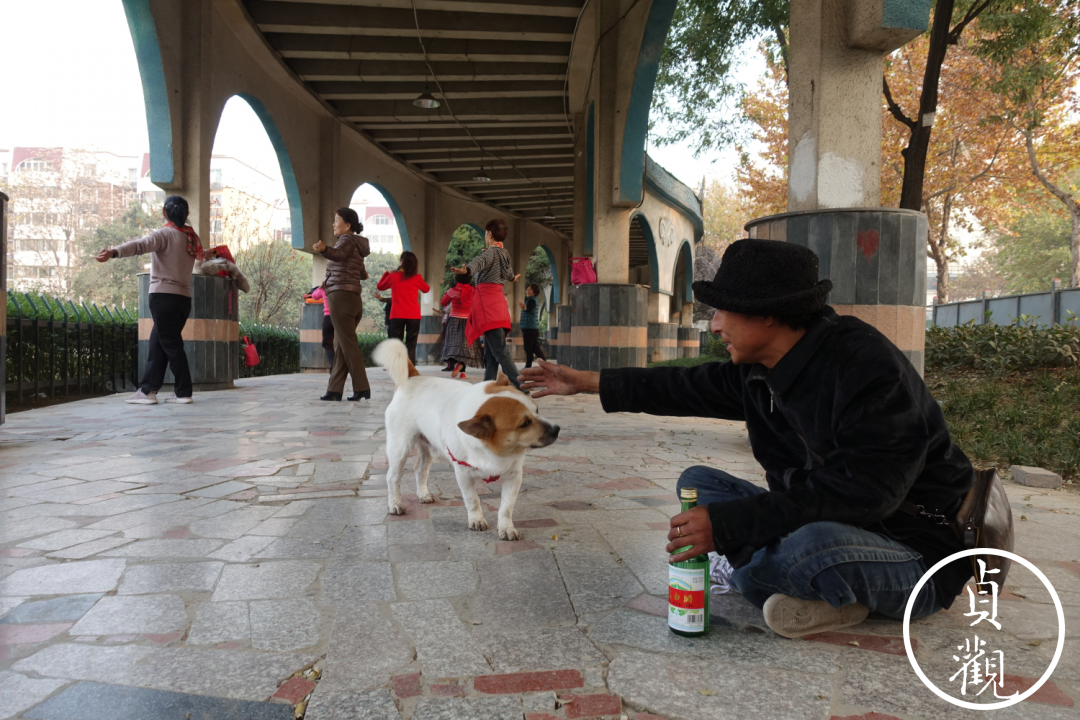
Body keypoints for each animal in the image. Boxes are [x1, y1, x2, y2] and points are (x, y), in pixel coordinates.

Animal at [371, 341, 557, 537]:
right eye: (525, 423)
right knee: (392, 477)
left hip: (428, 448)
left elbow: (506, 507)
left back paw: (422, 494)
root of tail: (413, 378)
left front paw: (506, 527)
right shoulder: (463, 475)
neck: (493, 451)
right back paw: (395, 504)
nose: (557, 429)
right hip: (400, 448)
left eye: (537, 410)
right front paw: (476, 519)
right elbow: (472, 500)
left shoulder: (513, 477)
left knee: (420, 470)